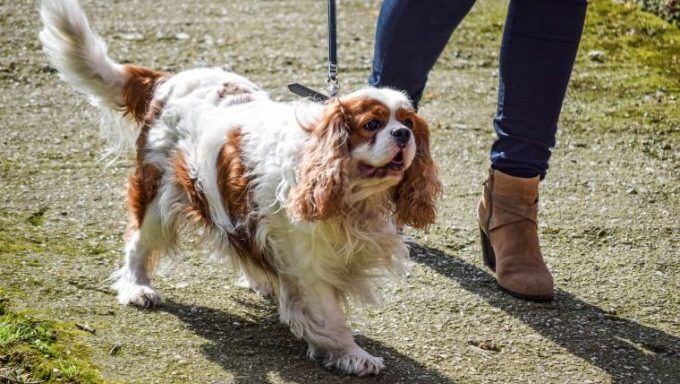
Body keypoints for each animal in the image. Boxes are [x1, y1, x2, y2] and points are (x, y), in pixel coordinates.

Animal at [38, 0, 440, 376]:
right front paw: (352, 355)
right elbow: (328, 316)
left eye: (408, 122)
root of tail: (167, 81)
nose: (402, 135)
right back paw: (137, 287)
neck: (353, 199)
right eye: (372, 124)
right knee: (138, 241)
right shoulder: (307, 262)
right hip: (159, 191)